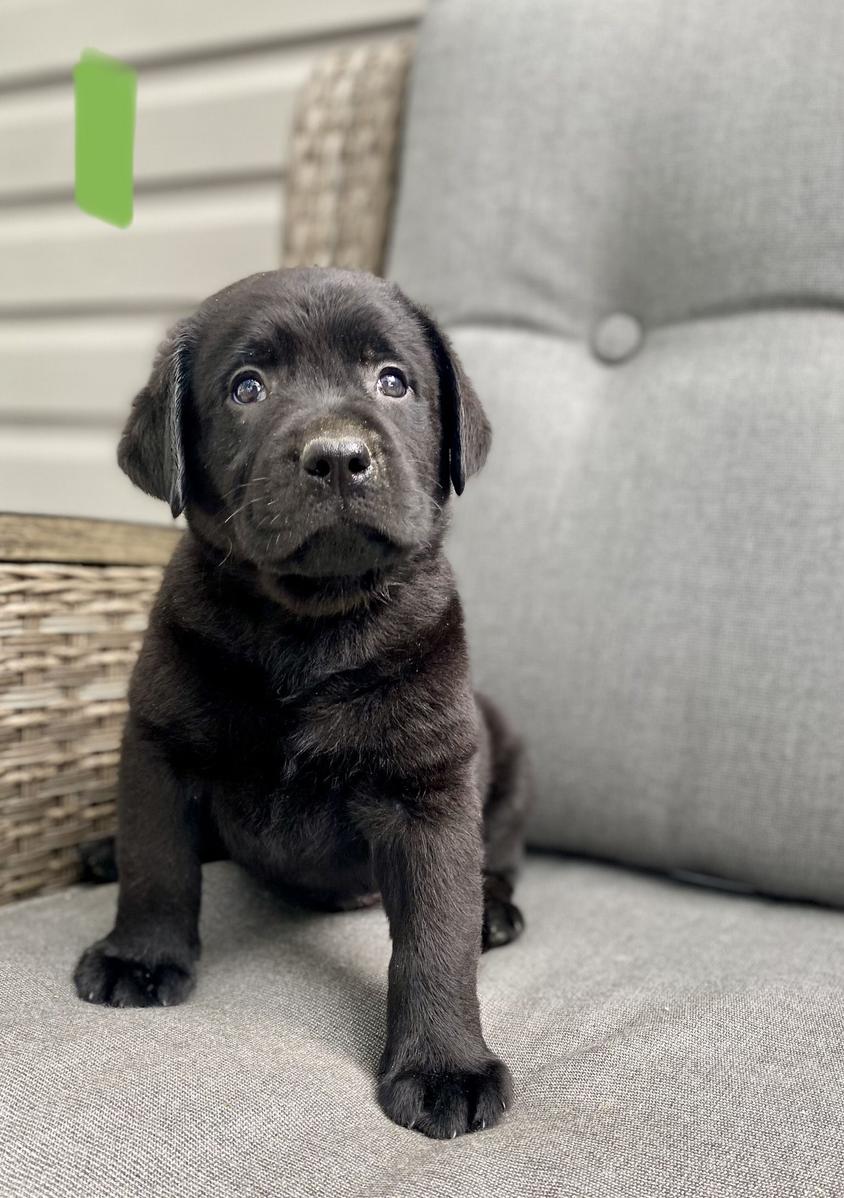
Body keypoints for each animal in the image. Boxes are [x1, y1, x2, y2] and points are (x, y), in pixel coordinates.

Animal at [75, 267, 529, 1135]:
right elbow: (158, 862)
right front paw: (140, 956)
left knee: (500, 860)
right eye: (247, 387)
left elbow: (436, 934)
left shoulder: (428, 790)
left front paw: (443, 1065)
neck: (307, 627)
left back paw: (494, 908)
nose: (339, 457)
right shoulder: (158, 746)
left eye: (393, 382)